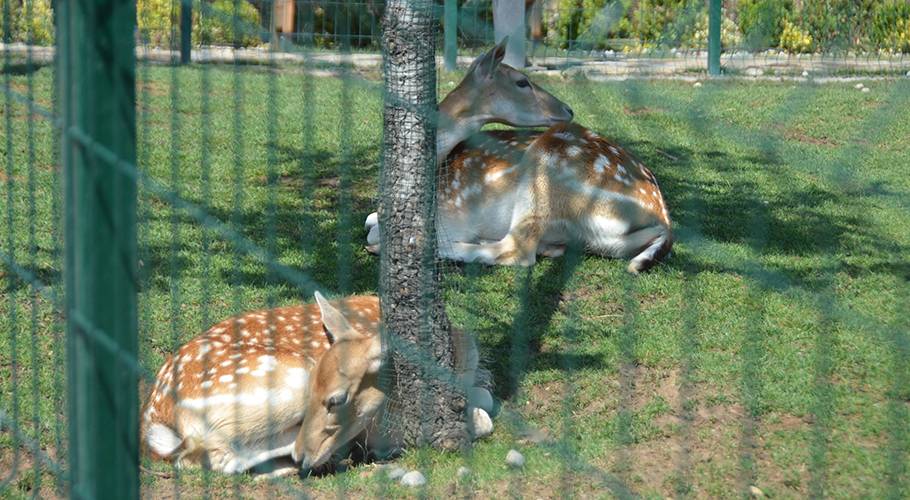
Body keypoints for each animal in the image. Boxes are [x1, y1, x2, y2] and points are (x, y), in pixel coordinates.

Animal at [142, 292, 496, 476]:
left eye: (335, 400)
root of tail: (157, 416)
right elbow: (484, 419)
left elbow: (487, 397)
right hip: (288, 380)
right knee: (209, 456)